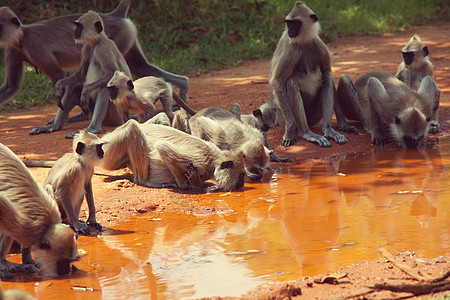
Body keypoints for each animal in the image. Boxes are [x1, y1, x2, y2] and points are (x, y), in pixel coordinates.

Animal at [0, 0, 188, 111]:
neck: (22, 38)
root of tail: (114, 15)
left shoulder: (35, 46)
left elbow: (57, 75)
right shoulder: (12, 48)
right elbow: (11, 87)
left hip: (119, 38)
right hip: (128, 36)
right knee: (141, 67)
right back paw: (182, 87)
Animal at [0, 143, 77, 278]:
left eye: (70, 262)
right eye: (63, 262)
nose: (67, 270)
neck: (45, 227)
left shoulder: (27, 232)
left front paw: (27, 260)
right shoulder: (22, 225)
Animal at [101, 118, 246, 191]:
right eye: (241, 175)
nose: (242, 184)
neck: (213, 158)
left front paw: (197, 183)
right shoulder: (200, 160)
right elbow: (163, 148)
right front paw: (188, 185)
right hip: (109, 149)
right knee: (132, 126)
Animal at [268, 2, 352, 148]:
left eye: (296, 23)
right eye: (289, 23)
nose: (290, 30)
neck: (303, 42)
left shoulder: (317, 44)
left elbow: (326, 71)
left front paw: (343, 124)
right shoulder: (291, 49)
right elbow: (277, 82)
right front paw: (289, 132)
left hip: (314, 116)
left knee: (327, 77)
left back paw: (328, 129)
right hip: (283, 116)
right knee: (291, 83)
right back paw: (306, 133)